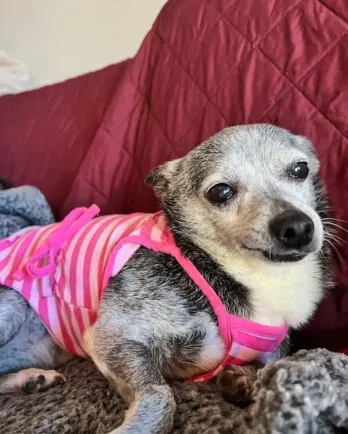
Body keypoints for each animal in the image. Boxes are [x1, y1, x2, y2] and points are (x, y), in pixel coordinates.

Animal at [0, 124, 332, 434]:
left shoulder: (275, 347)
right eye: (220, 192)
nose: (297, 227)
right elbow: (159, 393)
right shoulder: (111, 338)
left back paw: (30, 379)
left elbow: (273, 366)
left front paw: (243, 380)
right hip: (13, 305)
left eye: (300, 169)